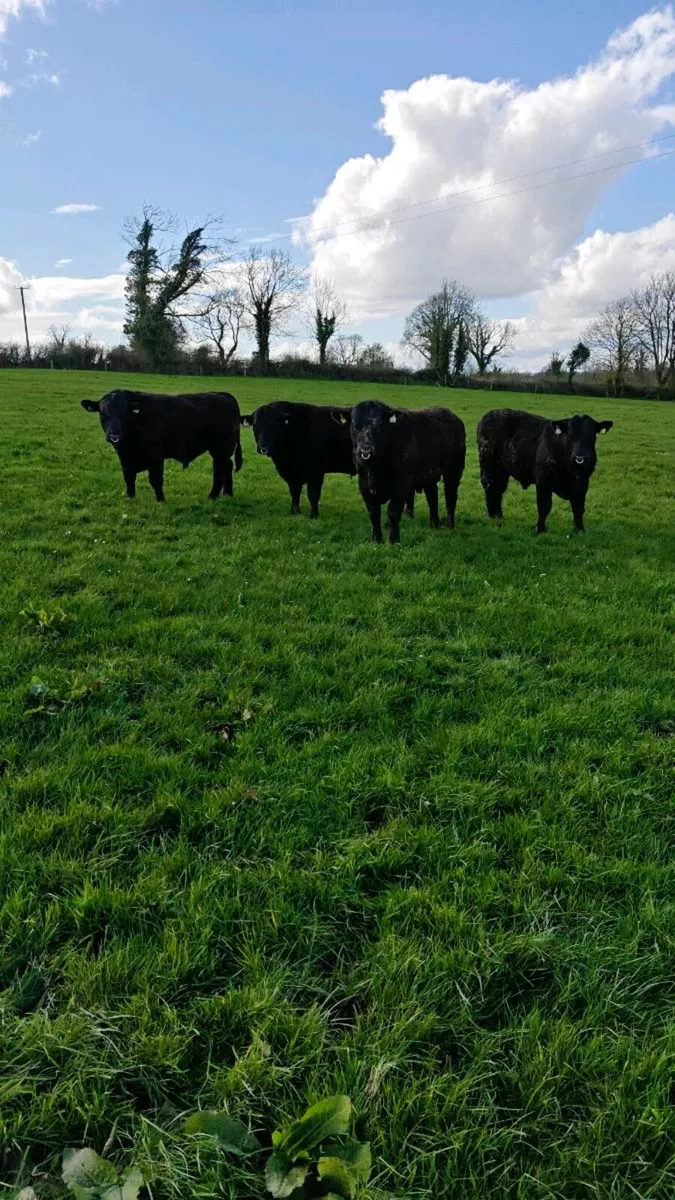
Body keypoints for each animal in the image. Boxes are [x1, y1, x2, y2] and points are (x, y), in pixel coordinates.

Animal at [80, 388, 242, 502]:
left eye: (124, 414)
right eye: (102, 414)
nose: (114, 436)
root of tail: (223, 394)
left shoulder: (155, 455)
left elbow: (155, 480)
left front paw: (161, 501)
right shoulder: (125, 458)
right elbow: (129, 478)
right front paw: (130, 498)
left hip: (220, 448)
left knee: (219, 470)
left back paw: (212, 496)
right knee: (228, 466)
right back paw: (228, 494)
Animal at [341, 400, 466, 544]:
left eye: (379, 427)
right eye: (355, 426)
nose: (365, 451)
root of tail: (453, 416)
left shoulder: (402, 484)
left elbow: (393, 512)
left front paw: (394, 540)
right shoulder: (364, 485)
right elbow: (373, 513)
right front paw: (377, 539)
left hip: (454, 470)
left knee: (450, 496)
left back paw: (450, 524)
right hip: (430, 475)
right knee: (432, 497)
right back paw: (434, 524)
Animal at [477, 409, 613, 534]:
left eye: (592, 435)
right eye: (569, 435)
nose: (580, 458)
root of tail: (490, 413)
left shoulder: (582, 483)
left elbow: (578, 508)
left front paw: (580, 530)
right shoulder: (543, 481)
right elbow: (544, 506)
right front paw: (540, 529)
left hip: (502, 469)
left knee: (498, 490)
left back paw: (498, 516)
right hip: (488, 465)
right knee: (490, 486)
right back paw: (492, 516)